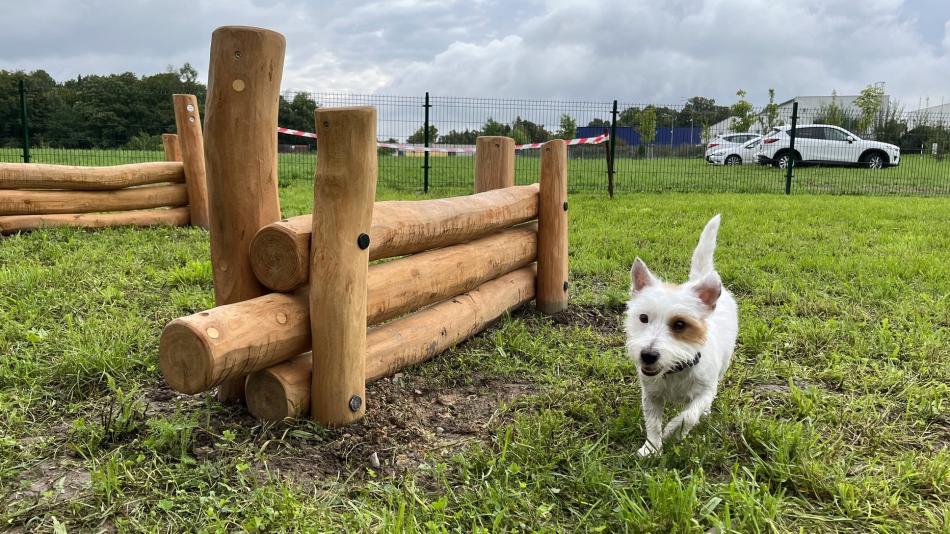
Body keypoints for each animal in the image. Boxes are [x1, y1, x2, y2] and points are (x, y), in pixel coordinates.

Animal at [628, 216, 740, 458]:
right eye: (643, 318)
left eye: (680, 324)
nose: (647, 355)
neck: (675, 369)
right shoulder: (651, 395)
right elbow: (652, 423)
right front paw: (652, 447)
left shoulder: (706, 390)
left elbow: (688, 416)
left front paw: (674, 431)